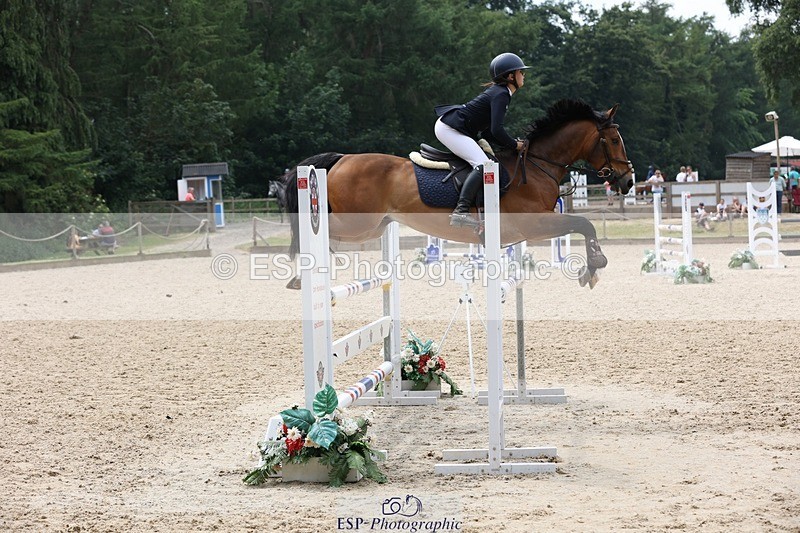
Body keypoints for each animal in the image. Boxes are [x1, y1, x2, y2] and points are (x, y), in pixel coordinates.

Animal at [281, 99, 634, 288]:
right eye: (615, 139)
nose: (628, 181)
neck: (535, 164)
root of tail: (341, 159)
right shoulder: (534, 223)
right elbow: (584, 223)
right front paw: (594, 266)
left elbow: (582, 224)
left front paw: (592, 268)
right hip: (358, 222)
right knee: (312, 232)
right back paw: (303, 274)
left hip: (374, 226)